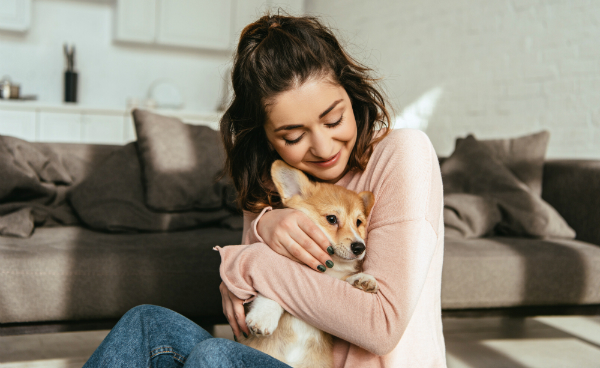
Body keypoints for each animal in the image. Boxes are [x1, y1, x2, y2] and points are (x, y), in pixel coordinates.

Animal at [238, 160, 376, 368]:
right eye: (332, 219)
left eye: (359, 222)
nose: (360, 247)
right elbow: (273, 290)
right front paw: (263, 317)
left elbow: (346, 278)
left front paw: (364, 279)